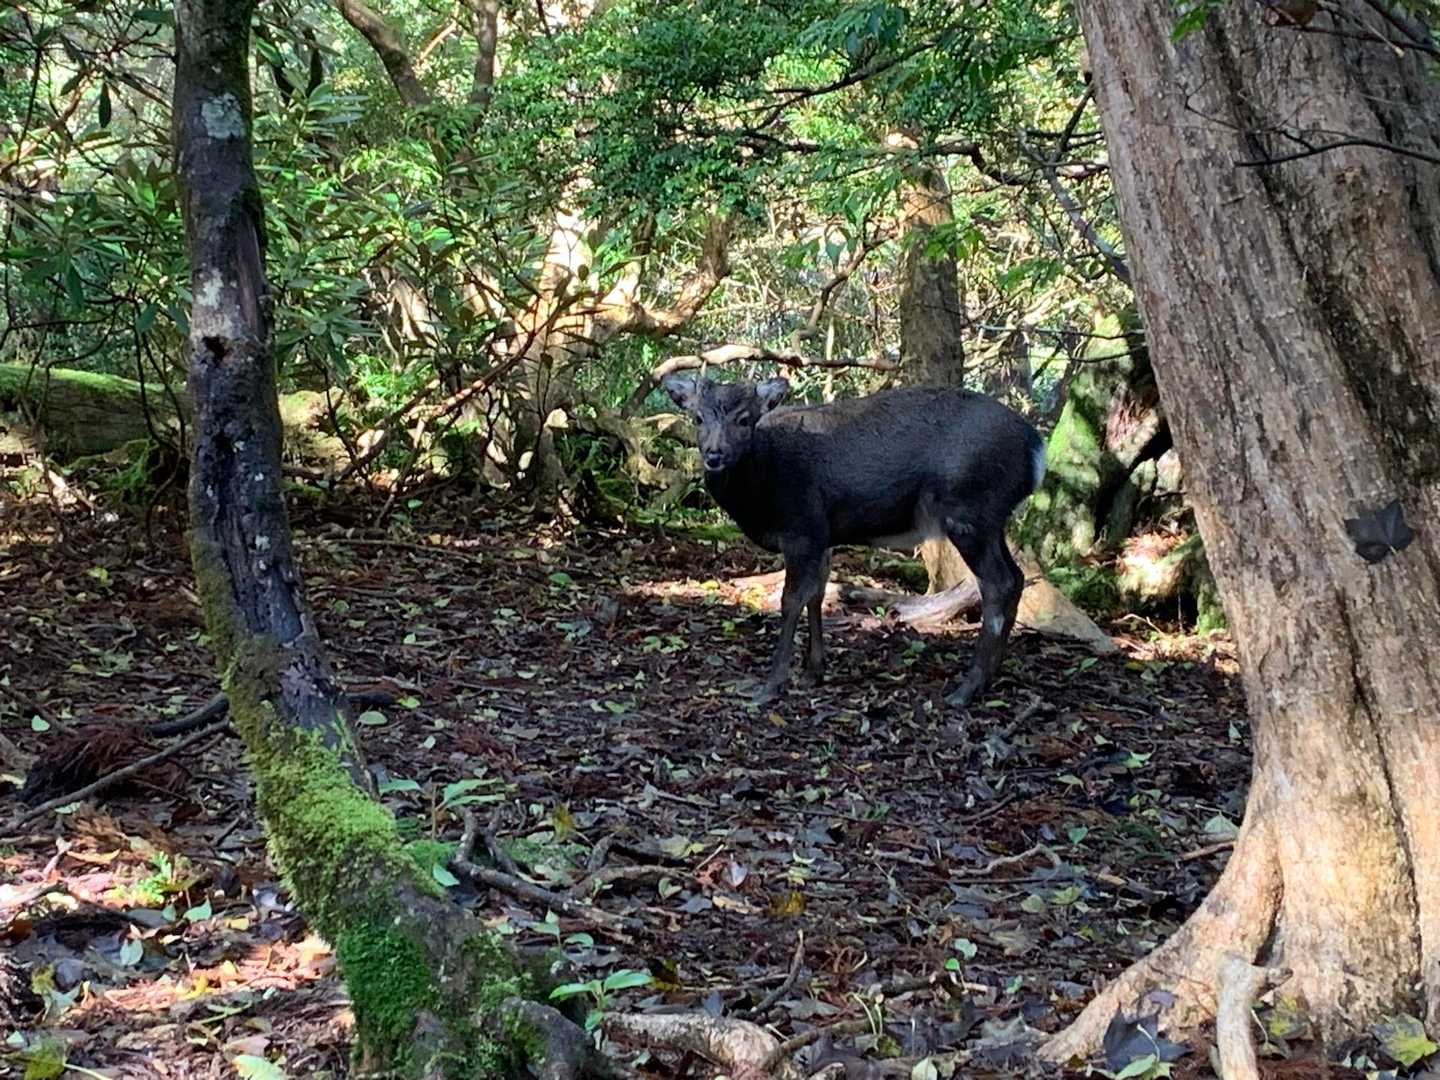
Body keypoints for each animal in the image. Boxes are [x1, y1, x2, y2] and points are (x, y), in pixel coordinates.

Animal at [663, 374, 1045, 706]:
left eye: (745, 419)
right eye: (697, 417)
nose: (714, 454)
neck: (761, 493)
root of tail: (1037, 451)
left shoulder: (802, 527)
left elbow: (791, 600)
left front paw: (771, 684)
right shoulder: (823, 536)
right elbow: (817, 595)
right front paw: (813, 672)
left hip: (967, 510)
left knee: (996, 583)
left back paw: (966, 689)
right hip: (992, 519)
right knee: (1017, 577)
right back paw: (990, 677)